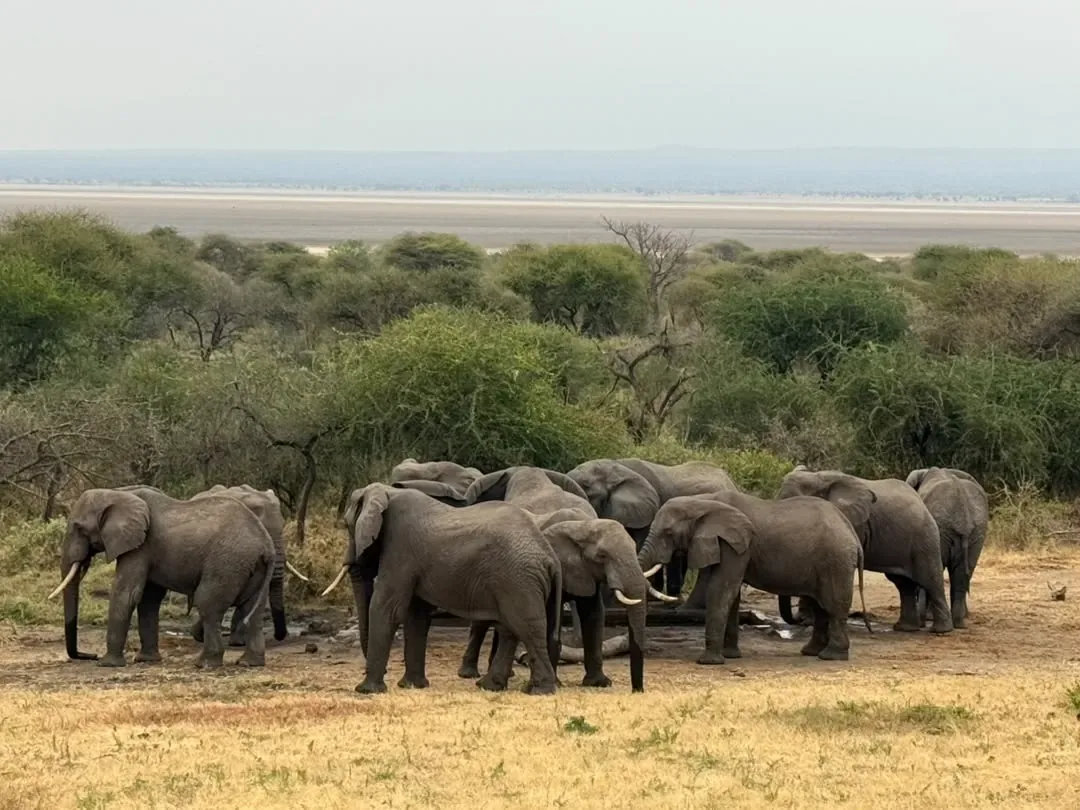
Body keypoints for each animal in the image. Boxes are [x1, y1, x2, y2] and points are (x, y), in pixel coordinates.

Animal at [49, 487, 275, 668]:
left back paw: (205, 664)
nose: (90, 655)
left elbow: (126, 594)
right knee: (253, 609)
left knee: (208, 603)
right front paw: (146, 660)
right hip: (251, 566)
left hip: (226, 562)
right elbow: (148, 599)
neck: (119, 493)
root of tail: (265, 543)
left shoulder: (140, 547)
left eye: (79, 528)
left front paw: (108, 664)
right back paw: (249, 663)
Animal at [321, 482, 562, 695]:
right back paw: (492, 686)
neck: (387, 492)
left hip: (518, 579)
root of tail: (550, 557)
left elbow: (387, 609)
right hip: (516, 581)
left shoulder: (400, 547)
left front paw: (367, 690)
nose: (387, 671)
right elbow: (416, 616)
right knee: (510, 629)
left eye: (347, 526)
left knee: (527, 627)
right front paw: (412, 686)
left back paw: (539, 691)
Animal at [637, 490, 871, 665]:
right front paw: (730, 656)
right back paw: (811, 652)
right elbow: (731, 595)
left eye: (668, 533)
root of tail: (850, 529)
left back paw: (832, 656)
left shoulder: (735, 545)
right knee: (820, 606)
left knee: (834, 606)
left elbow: (721, 589)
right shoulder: (722, 544)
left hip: (836, 560)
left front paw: (709, 662)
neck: (702, 502)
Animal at [777, 467, 953, 635]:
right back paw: (905, 628)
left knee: (930, 579)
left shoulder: (852, 522)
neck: (817, 477)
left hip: (924, 539)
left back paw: (941, 631)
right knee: (903, 584)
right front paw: (807, 621)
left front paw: (807, 621)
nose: (798, 620)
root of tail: (922, 504)